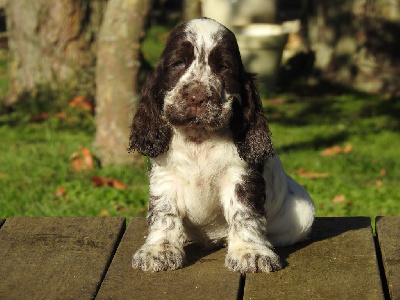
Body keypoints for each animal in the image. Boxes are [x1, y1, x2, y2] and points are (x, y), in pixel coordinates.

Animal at [130, 17, 314, 274]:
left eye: (224, 67)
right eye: (178, 63)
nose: (197, 97)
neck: (199, 139)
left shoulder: (241, 177)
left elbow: (244, 214)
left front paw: (251, 252)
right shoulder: (165, 177)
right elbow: (164, 213)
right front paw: (159, 250)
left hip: (305, 213)